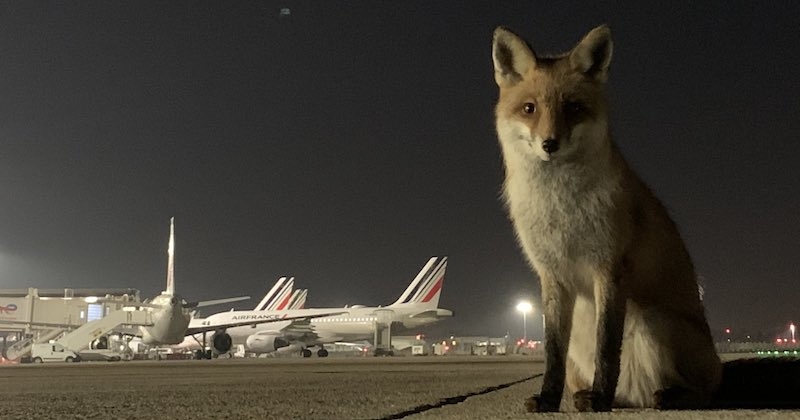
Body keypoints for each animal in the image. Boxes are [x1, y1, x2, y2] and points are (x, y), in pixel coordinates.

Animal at [490, 24, 720, 412]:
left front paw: (601, 397)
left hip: (652, 317)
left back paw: (663, 396)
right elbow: (552, 353)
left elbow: (608, 348)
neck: (560, 209)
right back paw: (590, 396)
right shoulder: (551, 276)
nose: (549, 144)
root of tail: (635, 398)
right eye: (529, 108)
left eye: (573, 107)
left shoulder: (610, 268)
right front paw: (549, 399)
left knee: (698, 391)